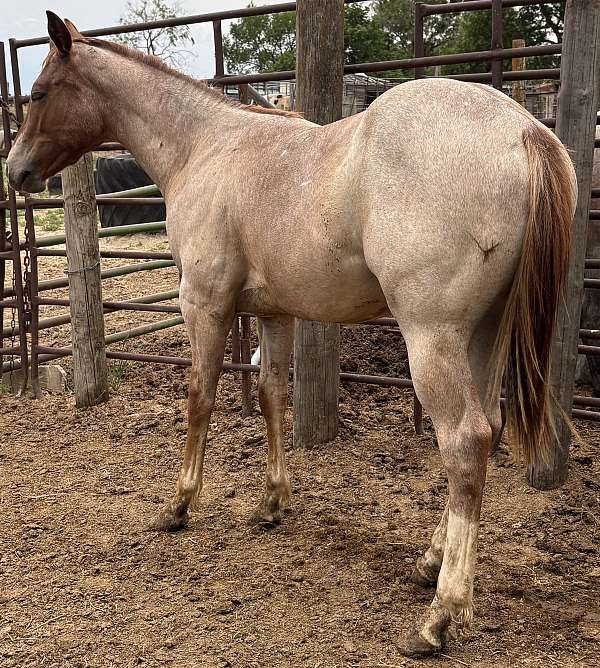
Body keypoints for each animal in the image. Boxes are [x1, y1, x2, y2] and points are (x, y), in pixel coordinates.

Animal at [7, 12, 576, 658]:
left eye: (40, 93)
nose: (16, 171)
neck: (204, 147)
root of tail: (525, 130)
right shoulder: (274, 313)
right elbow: (272, 394)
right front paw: (272, 501)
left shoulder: (203, 303)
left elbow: (200, 396)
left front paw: (179, 504)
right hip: (482, 334)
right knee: (489, 430)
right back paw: (431, 561)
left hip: (433, 337)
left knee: (464, 442)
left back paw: (440, 615)